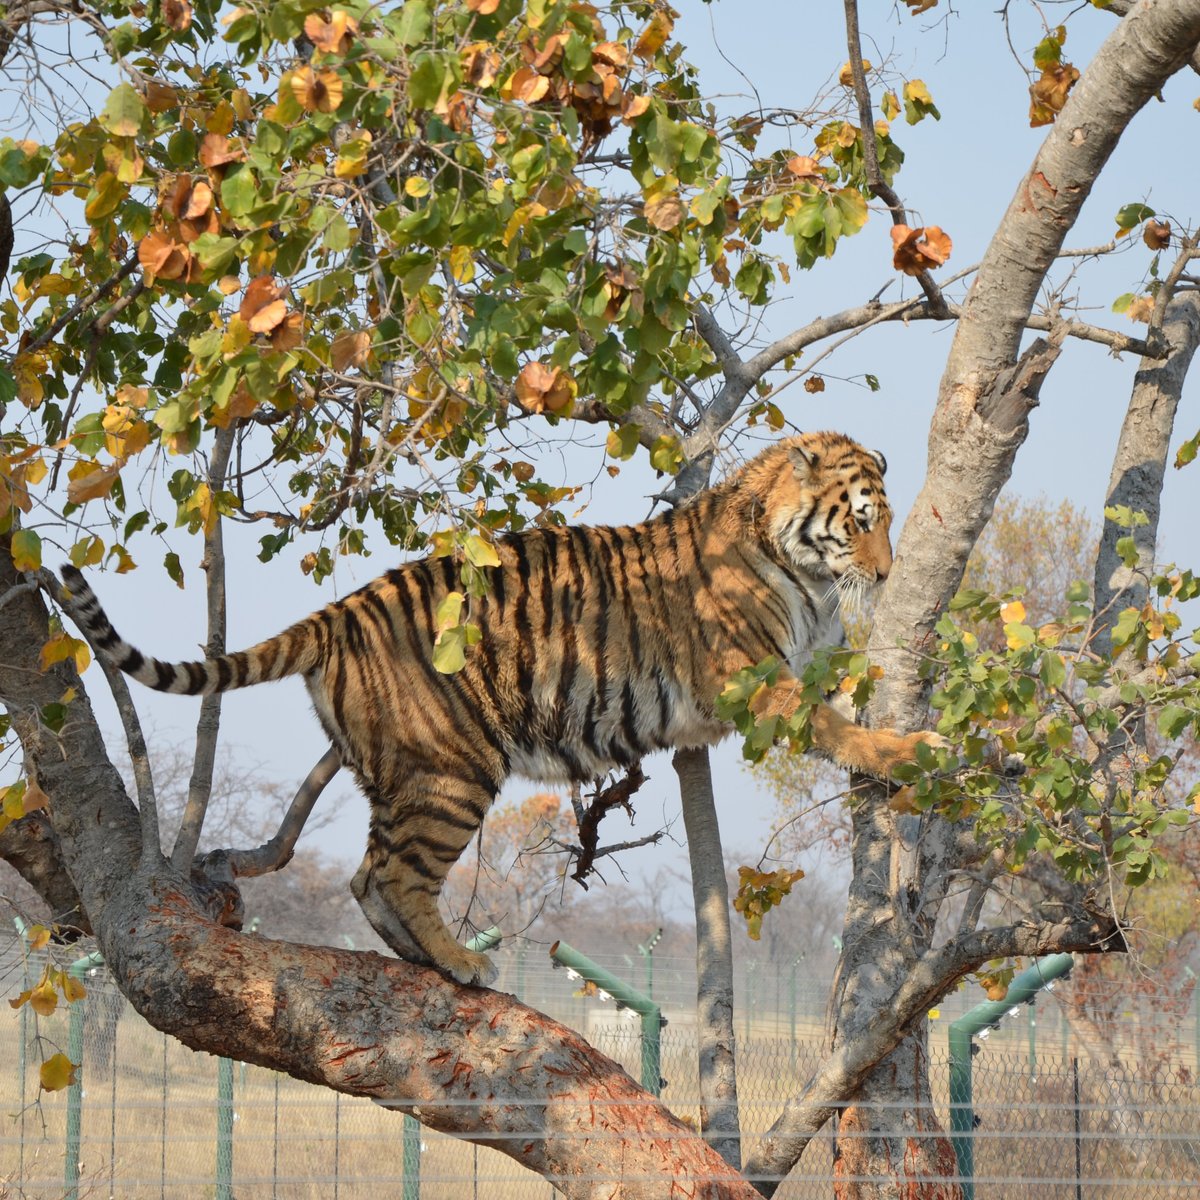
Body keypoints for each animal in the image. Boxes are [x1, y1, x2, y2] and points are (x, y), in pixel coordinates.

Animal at [60, 432, 940, 984]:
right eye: (862, 520)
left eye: (889, 522)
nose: (887, 576)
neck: (809, 577)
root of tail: (339, 611)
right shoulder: (757, 678)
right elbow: (836, 727)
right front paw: (909, 751)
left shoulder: (813, 661)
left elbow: (852, 694)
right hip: (452, 770)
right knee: (394, 874)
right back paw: (460, 962)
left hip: (403, 770)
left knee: (365, 875)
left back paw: (425, 959)